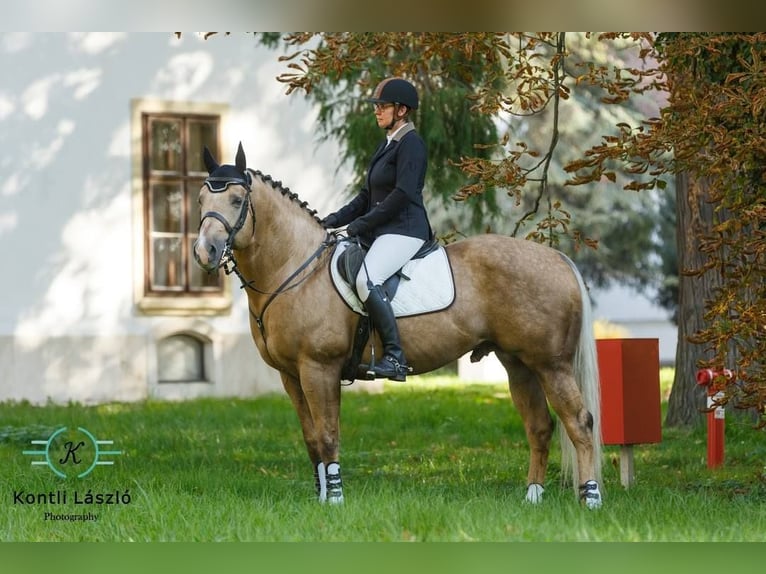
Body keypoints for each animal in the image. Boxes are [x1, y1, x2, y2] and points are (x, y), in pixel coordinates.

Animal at [193, 143, 603, 509]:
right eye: (200, 200)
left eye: (237, 201)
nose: (204, 253)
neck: (297, 268)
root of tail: (557, 258)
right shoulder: (291, 375)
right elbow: (311, 438)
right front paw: (320, 496)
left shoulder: (319, 368)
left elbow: (327, 435)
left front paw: (335, 499)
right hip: (518, 365)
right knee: (540, 426)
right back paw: (533, 497)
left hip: (552, 364)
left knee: (579, 422)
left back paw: (591, 498)